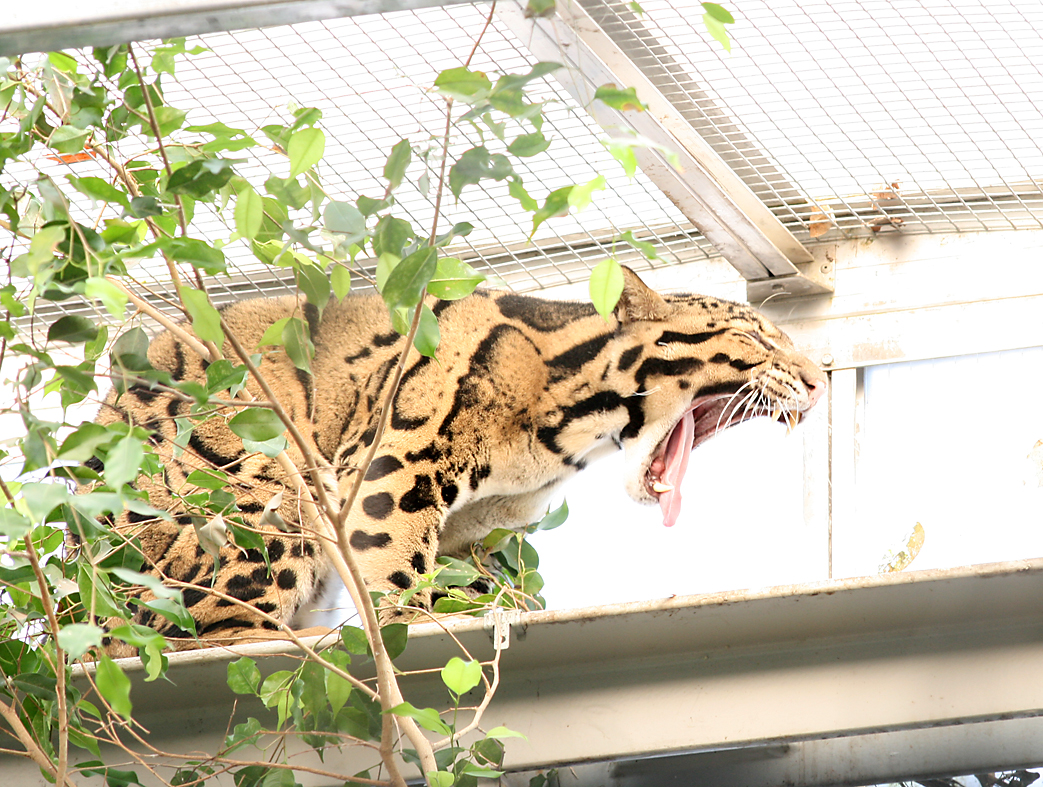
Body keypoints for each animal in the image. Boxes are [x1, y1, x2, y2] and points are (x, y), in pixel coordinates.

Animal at [82, 266, 825, 656]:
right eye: (760, 336)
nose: (818, 378)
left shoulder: (479, 523)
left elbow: (477, 575)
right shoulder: (391, 458)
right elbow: (394, 560)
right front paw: (414, 615)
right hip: (258, 497)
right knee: (205, 629)